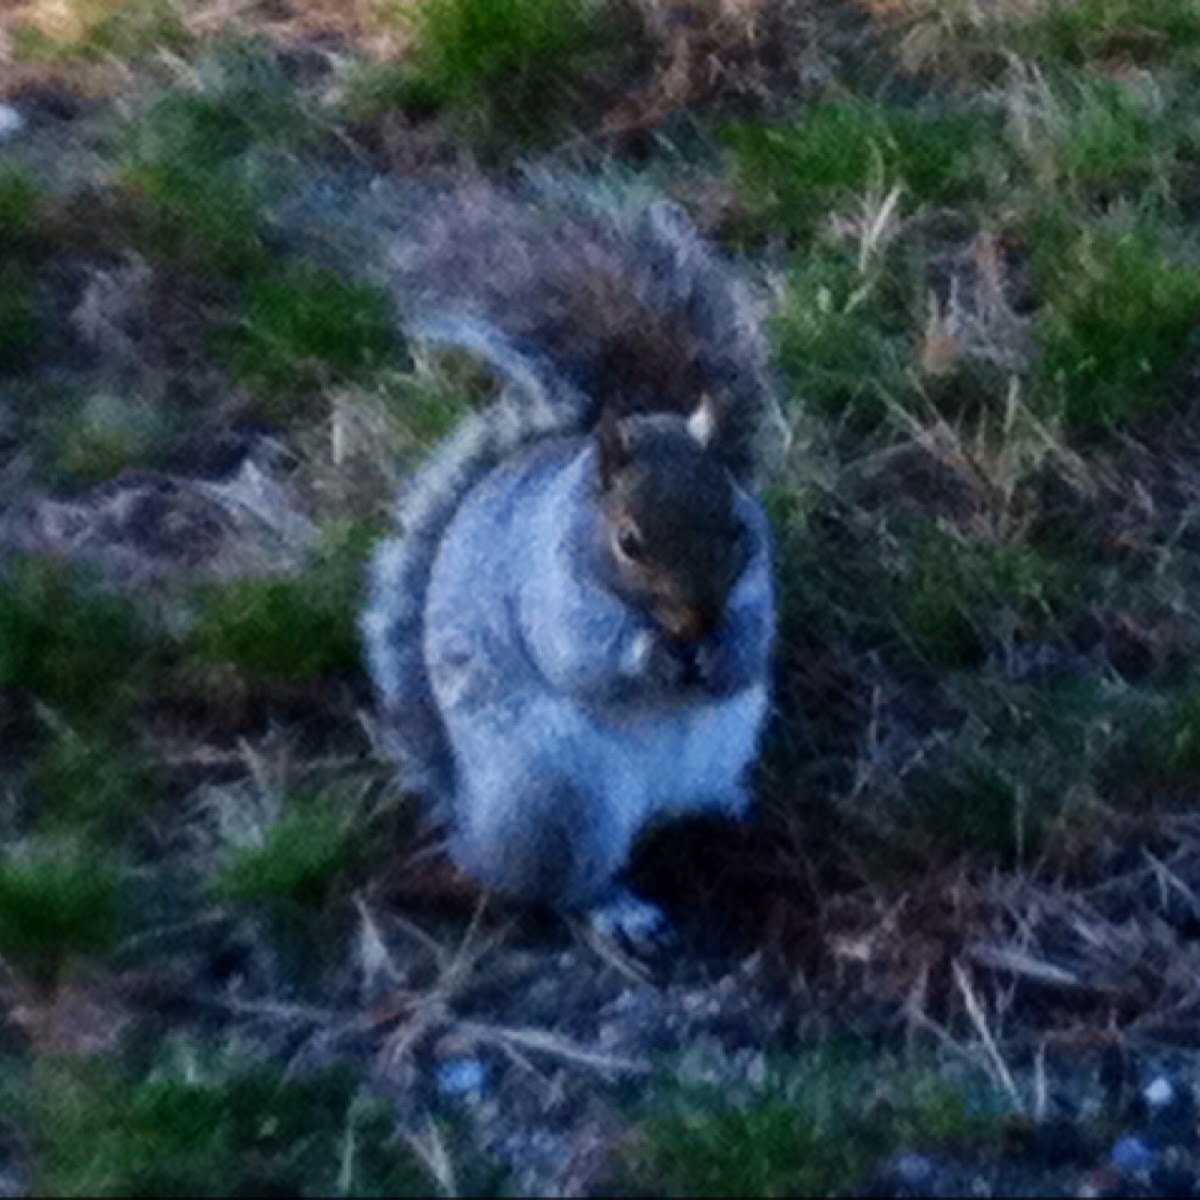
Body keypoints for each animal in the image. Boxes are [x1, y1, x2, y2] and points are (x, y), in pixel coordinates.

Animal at [355, 175, 787, 945]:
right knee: (554, 887)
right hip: (561, 796)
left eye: (739, 527)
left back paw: (736, 812)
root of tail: (473, 823)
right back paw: (618, 908)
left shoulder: (758, 589)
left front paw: (720, 651)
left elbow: (754, 644)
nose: (696, 622)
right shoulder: (546, 594)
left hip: (719, 749)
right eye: (629, 543)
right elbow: (579, 657)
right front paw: (648, 656)